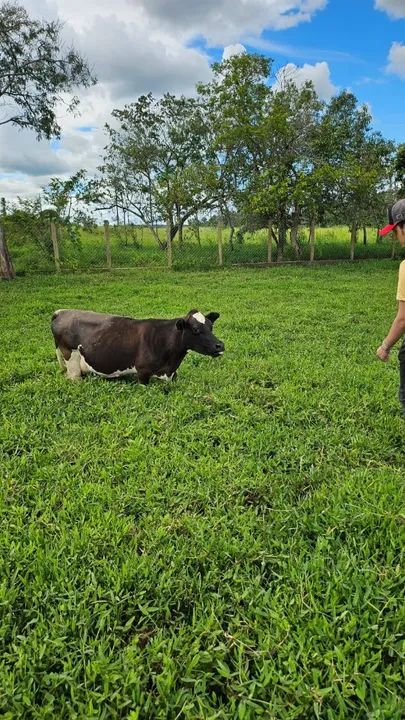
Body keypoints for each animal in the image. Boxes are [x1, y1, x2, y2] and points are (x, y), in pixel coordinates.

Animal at [51, 308, 225, 384]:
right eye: (195, 329)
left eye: (211, 327)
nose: (220, 345)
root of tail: (61, 311)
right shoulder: (143, 372)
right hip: (70, 358)